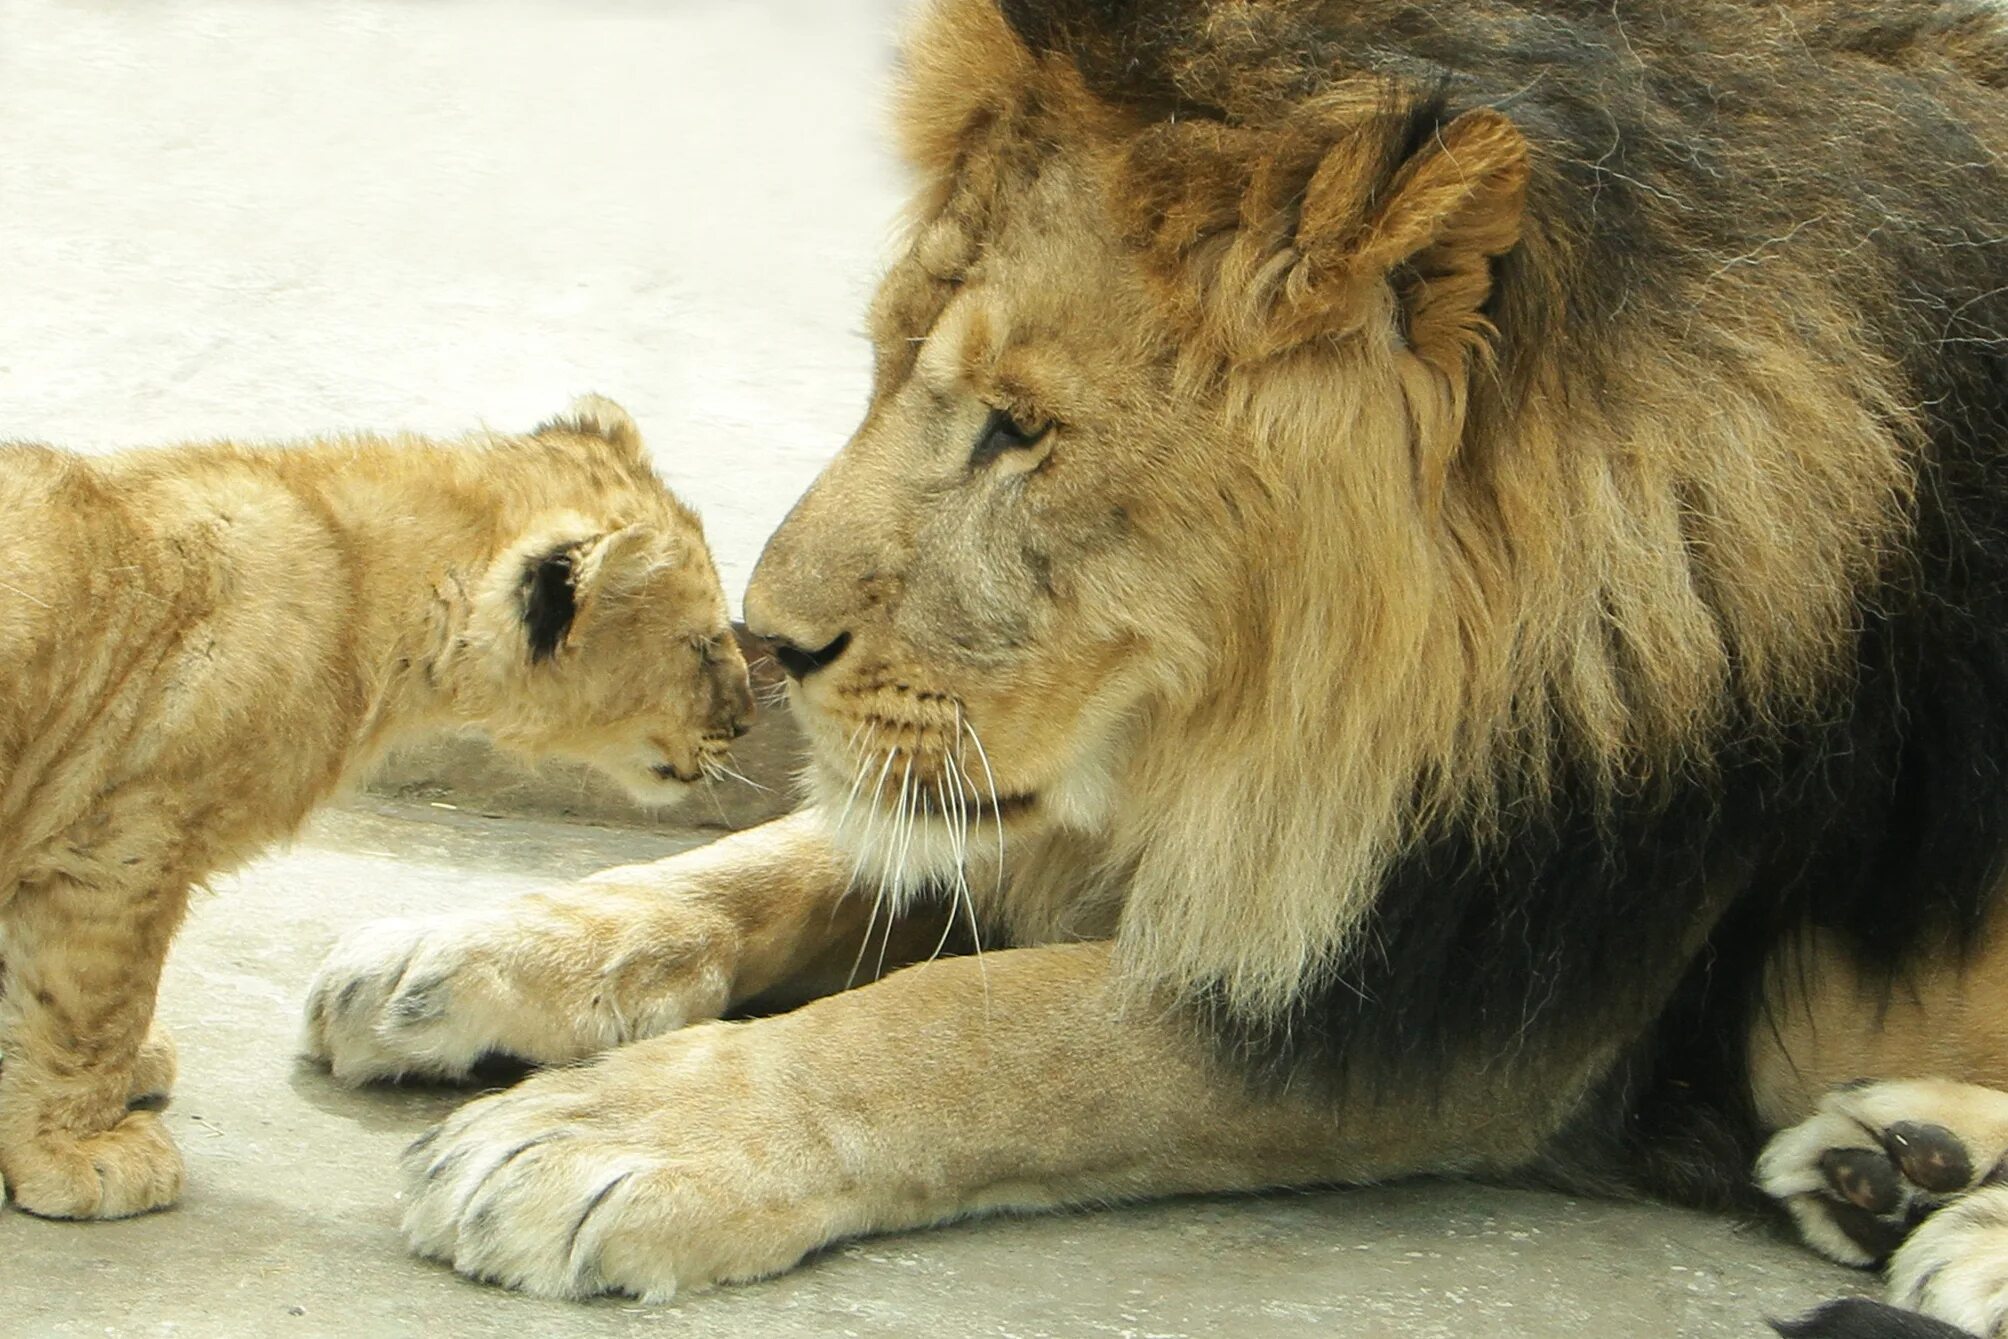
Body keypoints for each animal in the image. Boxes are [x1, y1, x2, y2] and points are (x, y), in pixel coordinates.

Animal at [317, 5, 2008, 1332]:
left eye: (1018, 428)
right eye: (887, 357)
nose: (771, 640)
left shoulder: (1472, 978)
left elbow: (984, 1020)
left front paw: (616, 1135)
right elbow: (793, 854)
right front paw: (480, 949)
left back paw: (1954, 1220)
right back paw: (1893, 1166)